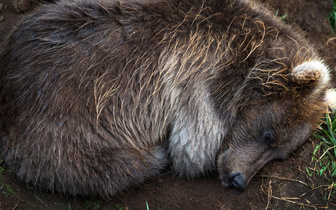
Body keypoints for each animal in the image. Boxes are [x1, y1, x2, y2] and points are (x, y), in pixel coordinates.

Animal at [0, 0, 336, 197]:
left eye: (281, 154)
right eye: (268, 135)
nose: (239, 180)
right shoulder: (198, 77)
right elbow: (192, 148)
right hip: (67, 120)